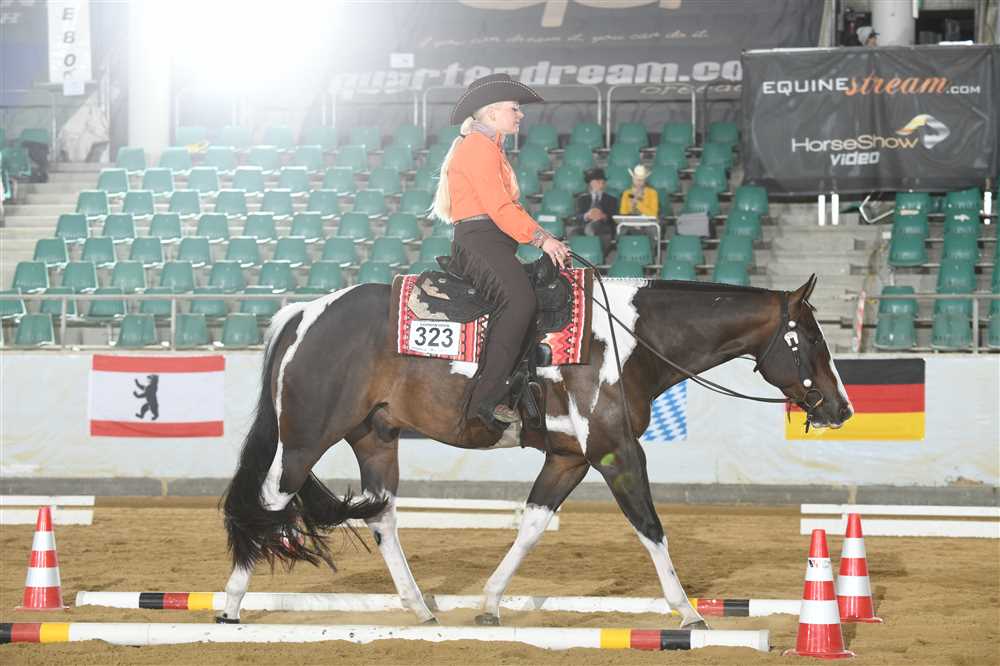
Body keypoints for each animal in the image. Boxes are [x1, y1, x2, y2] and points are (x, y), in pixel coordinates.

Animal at [218, 273, 853, 629]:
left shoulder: (570, 457)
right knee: (269, 501)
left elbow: (532, 523)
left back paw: (421, 608)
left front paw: (491, 601)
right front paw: (689, 611)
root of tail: (306, 313)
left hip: (375, 439)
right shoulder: (618, 451)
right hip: (307, 438)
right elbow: (650, 526)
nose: (841, 408)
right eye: (810, 338)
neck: (627, 341)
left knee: (382, 517)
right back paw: (230, 603)